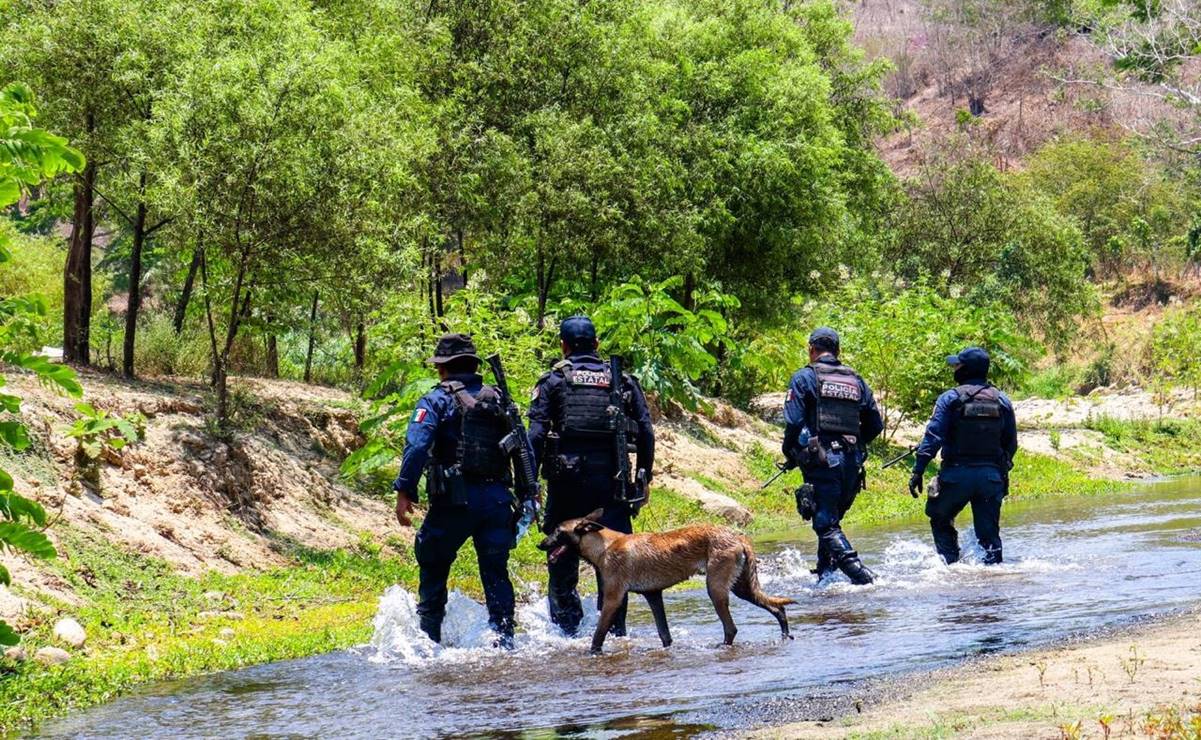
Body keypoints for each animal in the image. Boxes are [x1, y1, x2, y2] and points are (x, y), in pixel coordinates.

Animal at [540, 509, 792, 653]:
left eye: (557, 531)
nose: (540, 544)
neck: (604, 546)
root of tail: (737, 536)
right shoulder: (654, 596)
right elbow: (664, 634)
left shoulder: (613, 599)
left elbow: (598, 635)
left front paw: (593, 654)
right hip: (742, 587)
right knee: (777, 608)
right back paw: (785, 635)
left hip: (716, 589)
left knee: (731, 628)